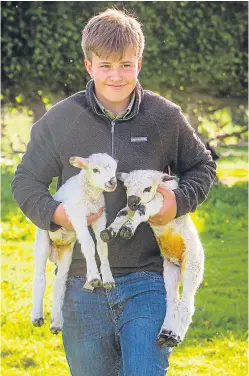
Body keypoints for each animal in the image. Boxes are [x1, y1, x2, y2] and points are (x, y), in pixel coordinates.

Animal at [31, 151, 117, 334]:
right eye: (95, 170)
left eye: (113, 167)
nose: (112, 182)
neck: (91, 195)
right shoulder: (76, 214)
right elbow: (89, 244)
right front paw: (94, 277)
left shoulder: (99, 216)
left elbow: (102, 246)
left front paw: (107, 279)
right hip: (42, 240)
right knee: (40, 277)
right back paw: (37, 316)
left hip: (66, 252)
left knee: (59, 283)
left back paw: (56, 323)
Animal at [100, 170, 204, 346]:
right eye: (126, 187)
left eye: (147, 188)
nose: (133, 201)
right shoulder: (129, 207)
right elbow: (122, 213)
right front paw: (109, 232)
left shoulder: (161, 201)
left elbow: (143, 209)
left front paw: (127, 230)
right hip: (170, 270)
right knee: (172, 301)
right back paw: (165, 334)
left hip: (193, 265)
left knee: (187, 304)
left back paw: (175, 336)